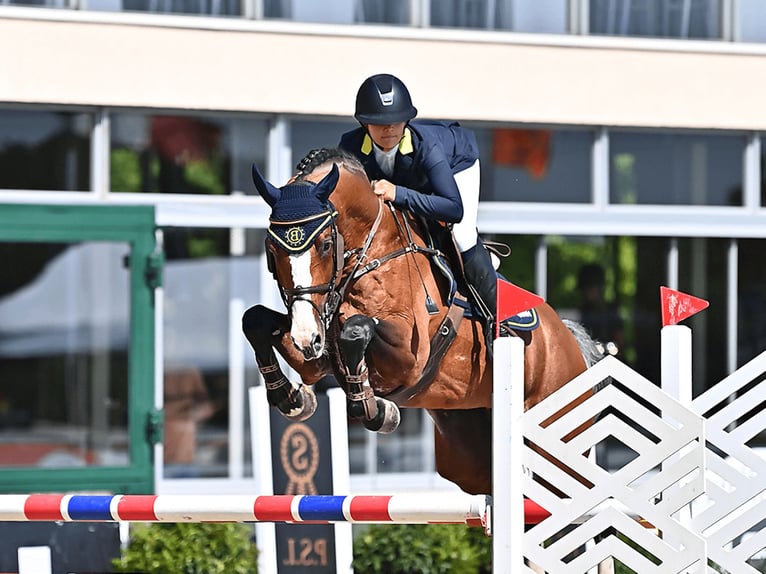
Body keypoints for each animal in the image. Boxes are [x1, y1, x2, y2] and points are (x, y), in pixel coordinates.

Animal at [242, 147, 600, 496]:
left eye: (325, 244)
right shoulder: (317, 358)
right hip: (468, 453)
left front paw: (376, 410)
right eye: (272, 248)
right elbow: (254, 320)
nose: (306, 338)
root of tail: (568, 339)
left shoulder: (409, 359)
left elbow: (356, 330)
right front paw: (292, 398)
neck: (372, 252)